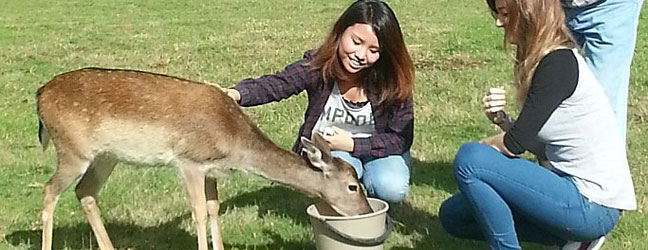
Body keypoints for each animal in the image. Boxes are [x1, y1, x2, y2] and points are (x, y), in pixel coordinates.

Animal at [36, 67, 374, 250]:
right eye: (353, 186)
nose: (366, 211)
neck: (234, 143)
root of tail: (39, 96)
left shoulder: (213, 170)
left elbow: (213, 209)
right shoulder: (190, 161)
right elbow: (198, 212)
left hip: (106, 156)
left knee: (85, 191)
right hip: (72, 149)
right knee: (49, 189)